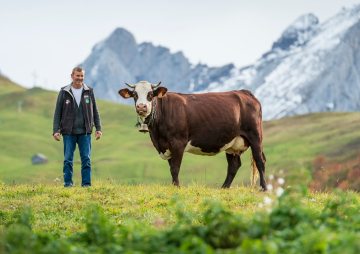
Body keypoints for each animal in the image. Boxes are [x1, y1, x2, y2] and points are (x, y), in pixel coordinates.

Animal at [119, 81, 268, 190]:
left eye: (150, 94)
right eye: (134, 94)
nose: (141, 107)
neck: (157, 134)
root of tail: (244, 92)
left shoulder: (177, 142)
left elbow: (175, 168)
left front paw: (177, 188)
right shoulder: (166, 145)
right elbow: (171, 167)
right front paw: (174, 186)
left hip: (255, 135)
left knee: (260, 160)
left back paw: (263, 188)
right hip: (232, 143)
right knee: (234, 165)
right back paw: (224, 188)